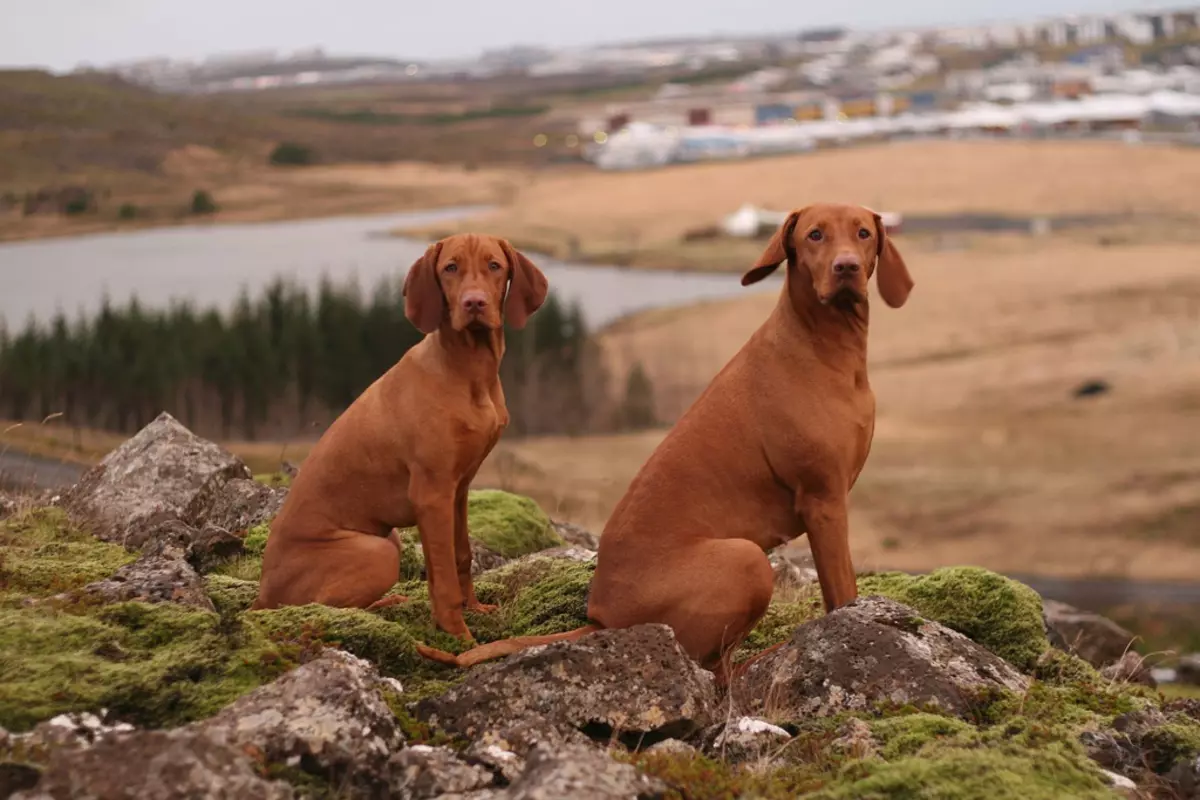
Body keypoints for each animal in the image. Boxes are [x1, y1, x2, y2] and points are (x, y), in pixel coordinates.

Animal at [258, 232, 552, 642]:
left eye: (494, 266)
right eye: (450, 268)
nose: (473, 303)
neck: (469, 370)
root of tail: (261, 595)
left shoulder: (458, 489)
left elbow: (461, 555)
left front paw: (474, 609)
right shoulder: (431, 493)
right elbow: (443, 575)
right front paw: (459, 636)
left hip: (390, 538)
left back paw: (389, 602)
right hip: (379, 552)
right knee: (320, 609)